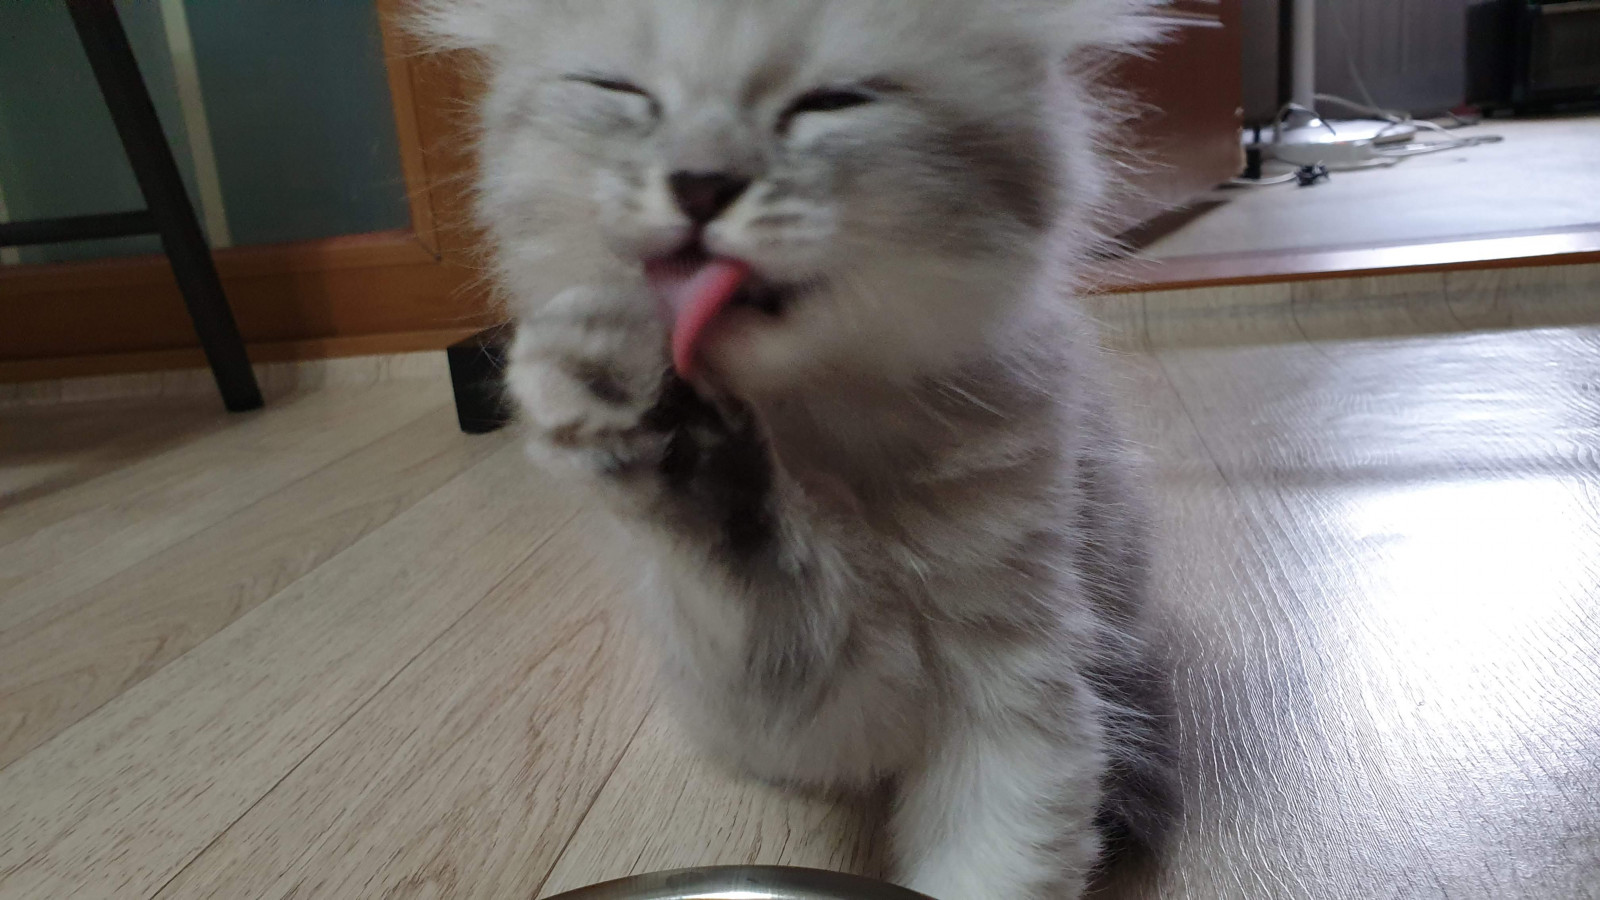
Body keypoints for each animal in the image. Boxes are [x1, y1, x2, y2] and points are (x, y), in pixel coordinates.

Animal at [417, 2, 1177, 897]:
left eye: (830, 103)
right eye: (622, 92)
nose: (700, 185)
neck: (821, 439)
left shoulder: (1012, 688)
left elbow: (996, 858)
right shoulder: (809, 705)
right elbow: (762, 591)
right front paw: (638, 402)